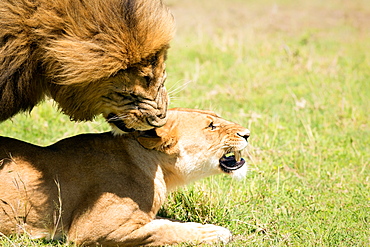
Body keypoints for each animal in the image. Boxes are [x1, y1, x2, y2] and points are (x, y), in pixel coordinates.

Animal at [0, 108, 250, 247]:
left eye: (217, 119)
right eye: (212, 126)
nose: (247, 133)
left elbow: (168, 222)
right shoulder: (90, 230)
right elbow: (162, 230)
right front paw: (213, 233)